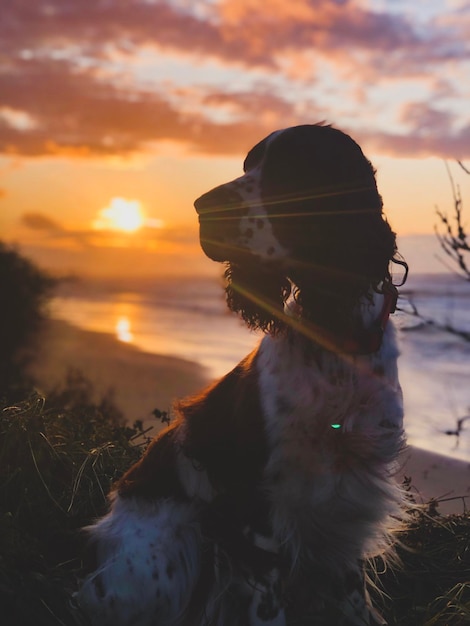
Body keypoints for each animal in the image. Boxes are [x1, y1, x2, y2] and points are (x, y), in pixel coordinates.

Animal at [78, 124, 408, 620]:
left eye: (289, 169)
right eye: (247, 165)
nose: (202, 208)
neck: (334, 339)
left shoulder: (343, 507)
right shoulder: (256, 510)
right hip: (162, 552)